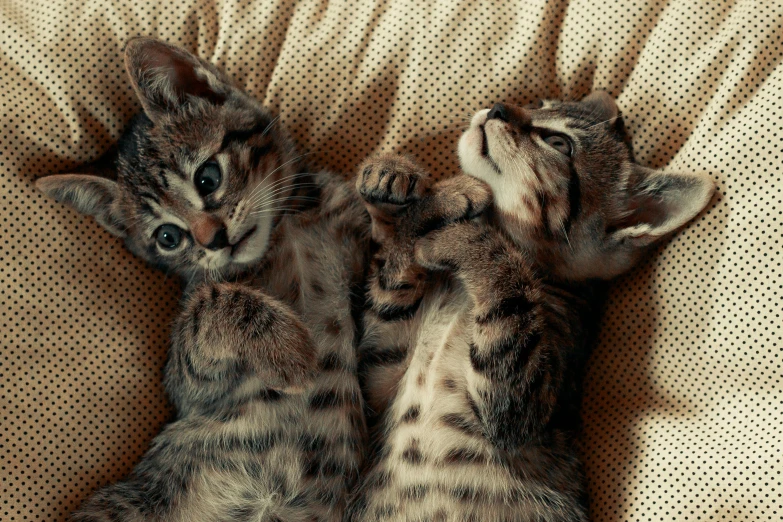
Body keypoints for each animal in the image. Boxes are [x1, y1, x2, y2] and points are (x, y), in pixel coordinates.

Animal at [34, 37, 370, 520]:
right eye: (168, 237)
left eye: (207, 177)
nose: (216, 240)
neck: (283, 234)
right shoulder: (189, 387)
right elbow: (212, 303)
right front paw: (288, 350)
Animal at [350, 93, 716, 520]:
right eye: (541, 103)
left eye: (559, 143)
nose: (498, 108)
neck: (460, 292)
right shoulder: (380, 376)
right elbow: (387, 289)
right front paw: (400, 182)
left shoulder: (523, 399)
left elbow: (507, 284)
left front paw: (464, 236)